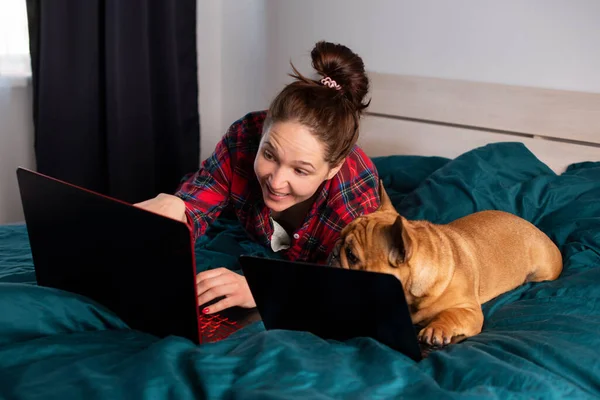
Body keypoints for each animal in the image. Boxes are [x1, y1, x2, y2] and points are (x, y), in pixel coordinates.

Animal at [332, 181, 564, 346]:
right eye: (339, 234)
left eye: (351, 255)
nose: (334, 250)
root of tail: (534, 227)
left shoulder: (469, 310)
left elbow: (450, 314)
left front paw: (436, 329)